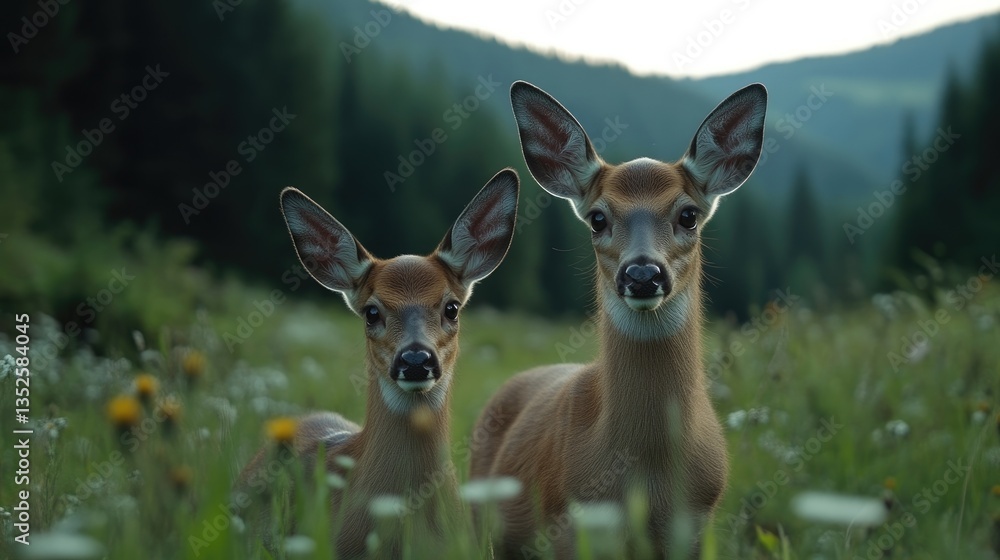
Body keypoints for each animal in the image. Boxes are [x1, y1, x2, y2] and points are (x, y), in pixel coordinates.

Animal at [469, 82, 767, 558]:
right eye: (597, 218)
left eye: (688, 215)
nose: (642, 274)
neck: (648, 468)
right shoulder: (569, 524)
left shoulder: (695, 526)